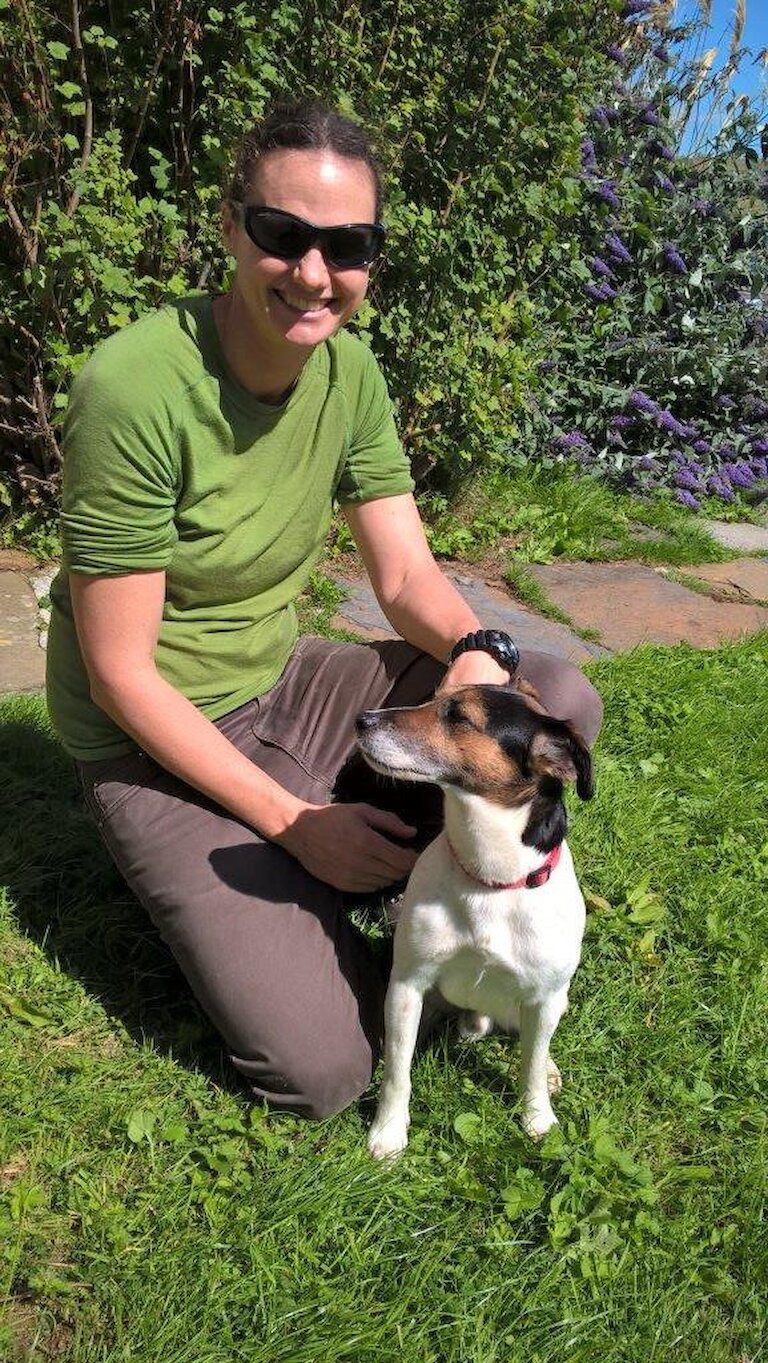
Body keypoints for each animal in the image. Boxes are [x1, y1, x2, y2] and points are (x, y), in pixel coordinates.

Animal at [354, 686, 594, 1155]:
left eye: (460, 717)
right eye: (433, 697)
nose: (361, 719)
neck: (491, 879)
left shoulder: (543, 998)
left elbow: (531, 1067)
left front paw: (538, 1120)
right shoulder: (408, 985)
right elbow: (397, 1073)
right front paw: (388, 1133)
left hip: (554, 1001)